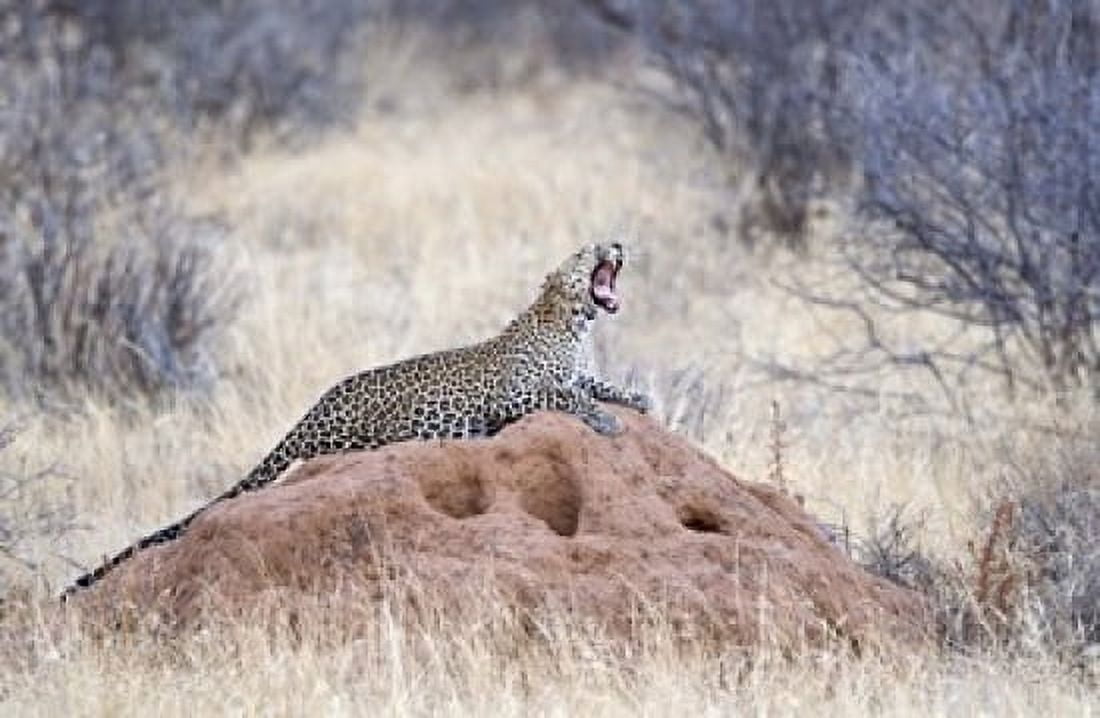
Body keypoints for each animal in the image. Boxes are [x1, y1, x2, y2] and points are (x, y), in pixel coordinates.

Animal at [61, 241, 649, 600]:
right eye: (584, 252)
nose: (616, 243)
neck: (572, 325)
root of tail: (315, 407)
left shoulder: (577, 373)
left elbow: (594, 385)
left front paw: (637, 399)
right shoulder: (514, 396)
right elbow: (568, 394)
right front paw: (608, 421)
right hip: (361, 431)